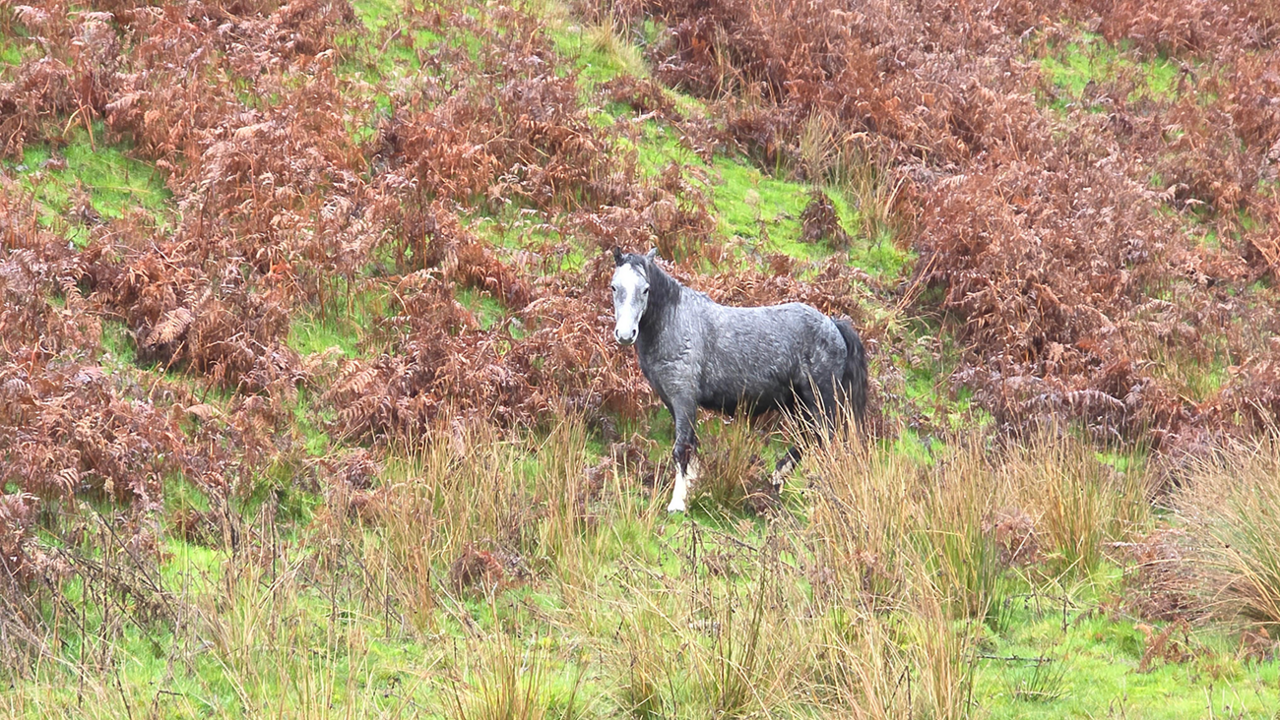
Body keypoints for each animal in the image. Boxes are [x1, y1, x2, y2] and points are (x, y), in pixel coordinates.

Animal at [609, 247, 868, 513]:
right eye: (614, 287)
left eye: (645, 289)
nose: (625, 334)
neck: (676, 322)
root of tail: (833, 325)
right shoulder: (672, 401)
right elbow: (692, 444)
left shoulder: (683, 399)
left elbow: (682, 447)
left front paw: (677, 503)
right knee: (809, 438)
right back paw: (780, 478)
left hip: (818, 401)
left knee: (821, 439)